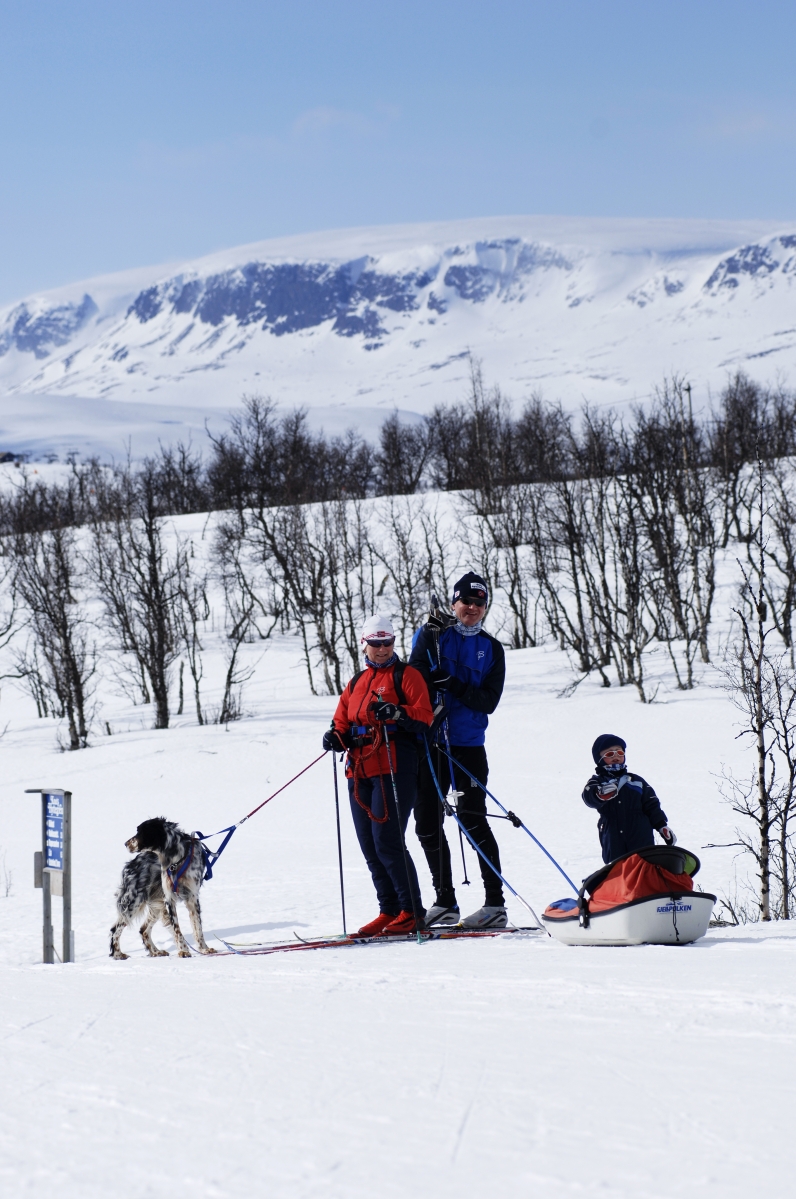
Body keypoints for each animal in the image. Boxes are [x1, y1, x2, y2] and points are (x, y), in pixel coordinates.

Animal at [109, 820, 215, 959]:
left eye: (140, 832)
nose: (125, 844)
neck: (176, 860)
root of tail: (131, 864)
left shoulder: (192, 897)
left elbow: (198, 927)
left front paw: (204, 949)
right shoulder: (169, 899)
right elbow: (177, 929)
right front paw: (183, 951)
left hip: (155, 905)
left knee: (143, 930)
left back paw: (156, 951)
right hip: (133, 902)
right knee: (115, 929)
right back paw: (118, 954)